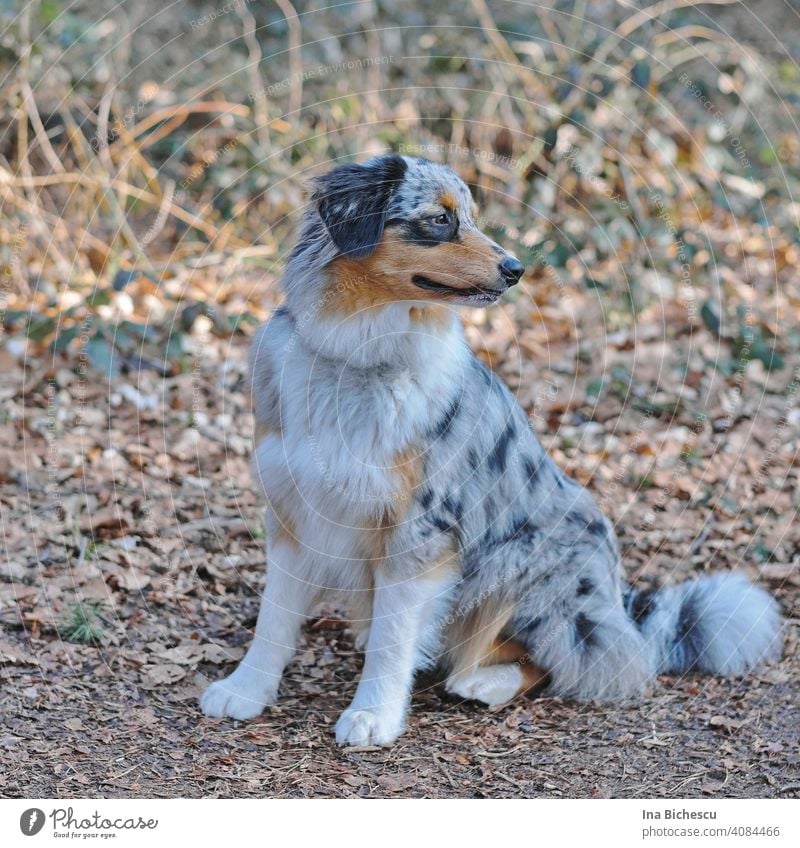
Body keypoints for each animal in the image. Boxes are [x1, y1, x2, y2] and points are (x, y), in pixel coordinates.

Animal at [198, 156, 780, 744]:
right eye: (440, 220)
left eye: (471, 217)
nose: (517, 268)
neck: (357, 356)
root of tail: (620, 602)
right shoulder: (292, 506)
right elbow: (274, 615)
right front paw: (247, 688)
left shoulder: (421, 529)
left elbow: (393, 636)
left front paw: (373, 715)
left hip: (528, 558)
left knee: (574, 662)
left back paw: (484, 682)